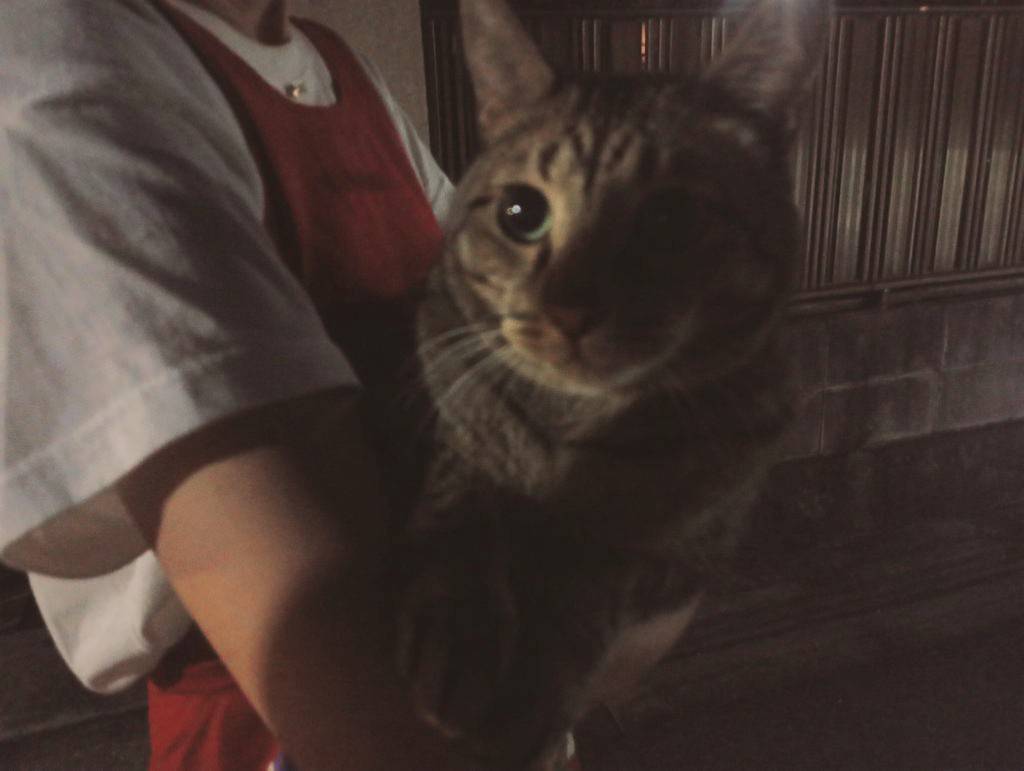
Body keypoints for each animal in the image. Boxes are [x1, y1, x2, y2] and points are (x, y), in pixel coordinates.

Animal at [392, 0, 830, 768]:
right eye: (519, 213)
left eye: (670, 219)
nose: (569, 311)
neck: (580, 420)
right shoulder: (449, 361)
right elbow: (463, 483)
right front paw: (459, 615)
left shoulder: (684, 541)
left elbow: (594, 570)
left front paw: (533, 684)